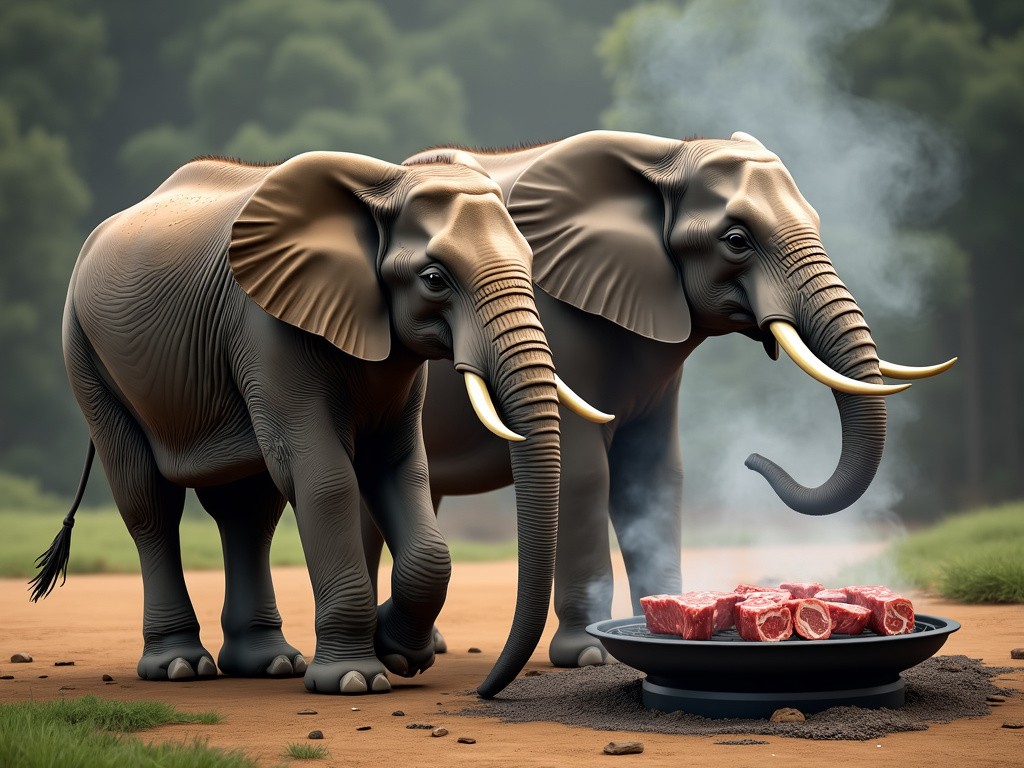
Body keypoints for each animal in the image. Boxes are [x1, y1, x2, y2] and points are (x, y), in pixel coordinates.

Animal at [387, 131, 954, 667]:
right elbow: (585, 474)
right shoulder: (560, 326)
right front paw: (589, 655)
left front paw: (660, 617)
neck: (665, 155)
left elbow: (655, 473)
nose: (752, 459)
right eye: (736, 240)